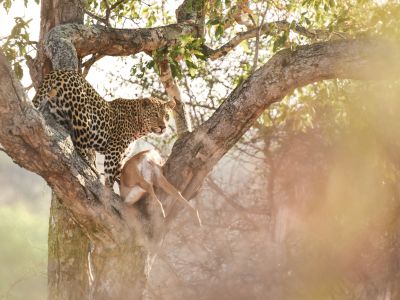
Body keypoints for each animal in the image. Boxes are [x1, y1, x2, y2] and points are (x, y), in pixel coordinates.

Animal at [31, 70, 175, 186]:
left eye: (167, 116)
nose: (163, 127)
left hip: (59, 112)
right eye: (155, 114)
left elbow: (122, 174)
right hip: (82, 116)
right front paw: (109, 193)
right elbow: (110, 177)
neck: (138, 126)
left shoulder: (122, 157)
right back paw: (92, 168)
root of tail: (59, 72)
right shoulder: (114, 151)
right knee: (79, 145)